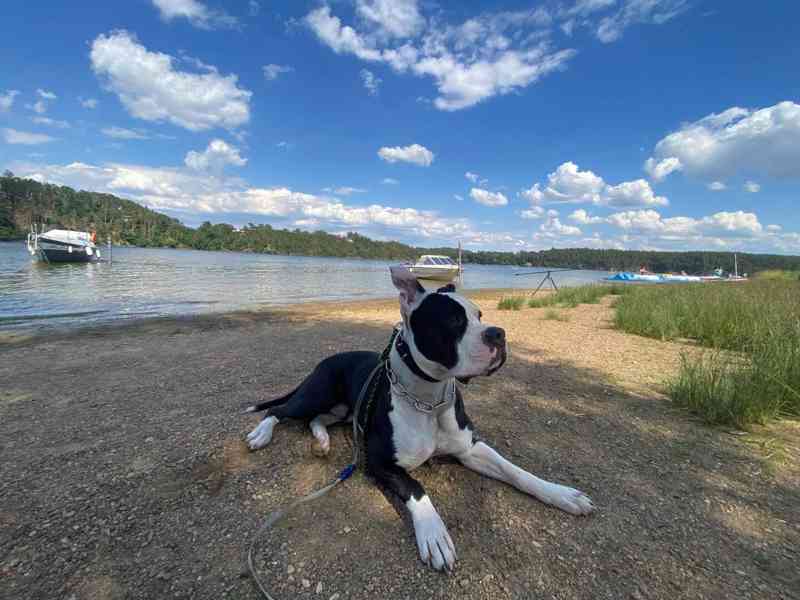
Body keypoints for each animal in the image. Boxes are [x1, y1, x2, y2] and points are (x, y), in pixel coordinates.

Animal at [245, 268, 592, 572]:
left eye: (480, 315)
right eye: (453, 320)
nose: (498, 333)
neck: (431, 400)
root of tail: (328, 358)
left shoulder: (470, 449)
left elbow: (515, 471)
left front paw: (560, 493)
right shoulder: (381, 463)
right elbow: (417, 487)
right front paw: (434, 534)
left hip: (343, 410)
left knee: (315, 420)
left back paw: (322, 441)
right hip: (317, 393)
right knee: (278, 411)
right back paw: (261, 435)